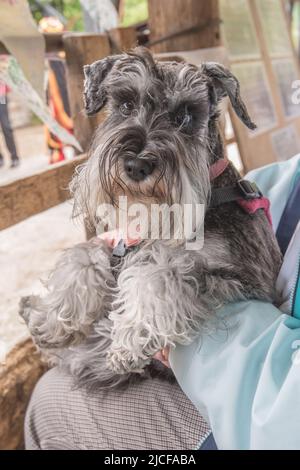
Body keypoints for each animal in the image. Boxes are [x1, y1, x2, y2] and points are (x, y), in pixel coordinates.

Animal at [19, 47, 282, 388]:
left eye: (185, 117)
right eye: (125, 105)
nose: (136, 165)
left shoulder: (244, 279)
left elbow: (159, 271)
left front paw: (128, 343)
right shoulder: (118, 244)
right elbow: (85, 256)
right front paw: (50, 319)